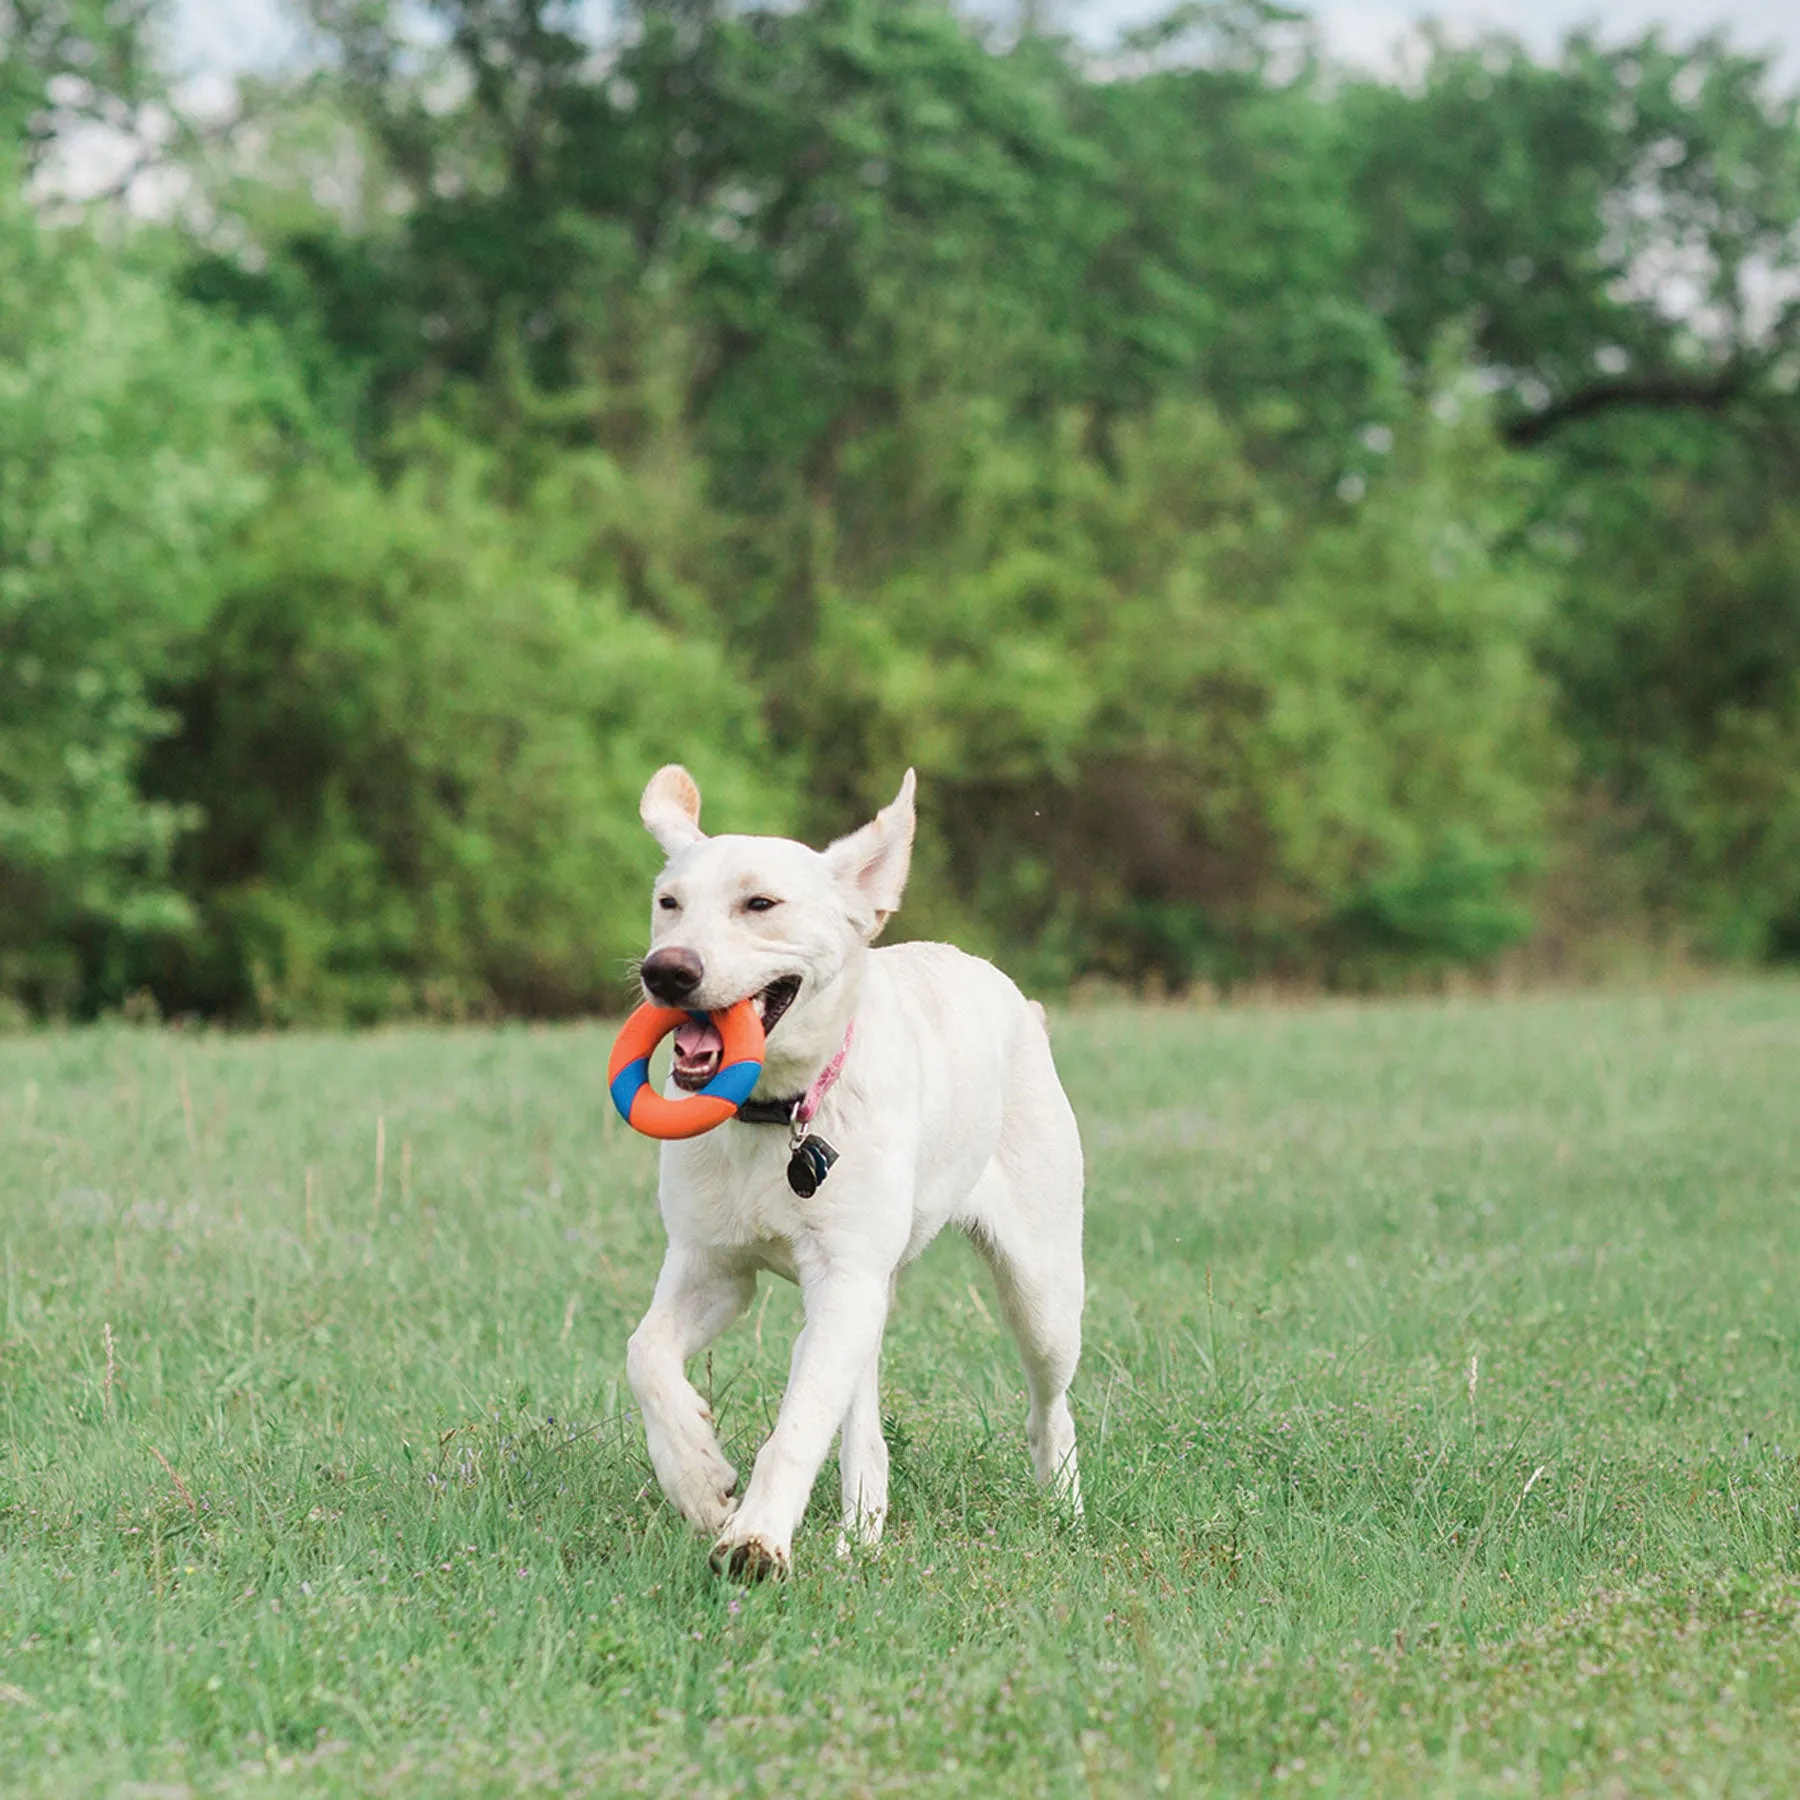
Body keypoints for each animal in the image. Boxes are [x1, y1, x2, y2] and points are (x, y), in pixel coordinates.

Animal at [626, 759, 1087, 1576]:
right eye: (668, 903)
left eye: (760, 904)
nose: (666, 971)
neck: (779, 1117)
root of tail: (1018, 1001)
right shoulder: (712, 1266)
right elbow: (645, 1354)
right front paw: (700, 1479)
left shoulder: (843, 1281)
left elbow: (797, 1426)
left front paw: (754, 1538)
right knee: (863, 1416)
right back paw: (862, 1527)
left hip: (1043, 1290)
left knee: (1049, 1407)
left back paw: (1063, 1508)